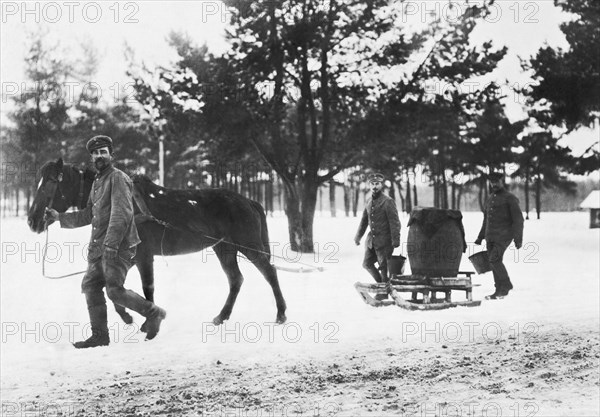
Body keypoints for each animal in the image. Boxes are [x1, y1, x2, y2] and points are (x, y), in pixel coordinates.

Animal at [28, 158, 288, 326]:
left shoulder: (143, 256)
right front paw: (129, 316)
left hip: (249, 246)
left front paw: (147, 319)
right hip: (224, 248)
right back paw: (221, 317)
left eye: (51, 182)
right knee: (236, 279)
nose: (33, 220)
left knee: (270, 272)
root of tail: (247, 201)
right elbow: (113, 288)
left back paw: (281, 314)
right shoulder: (126, 257)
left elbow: (145, 288)